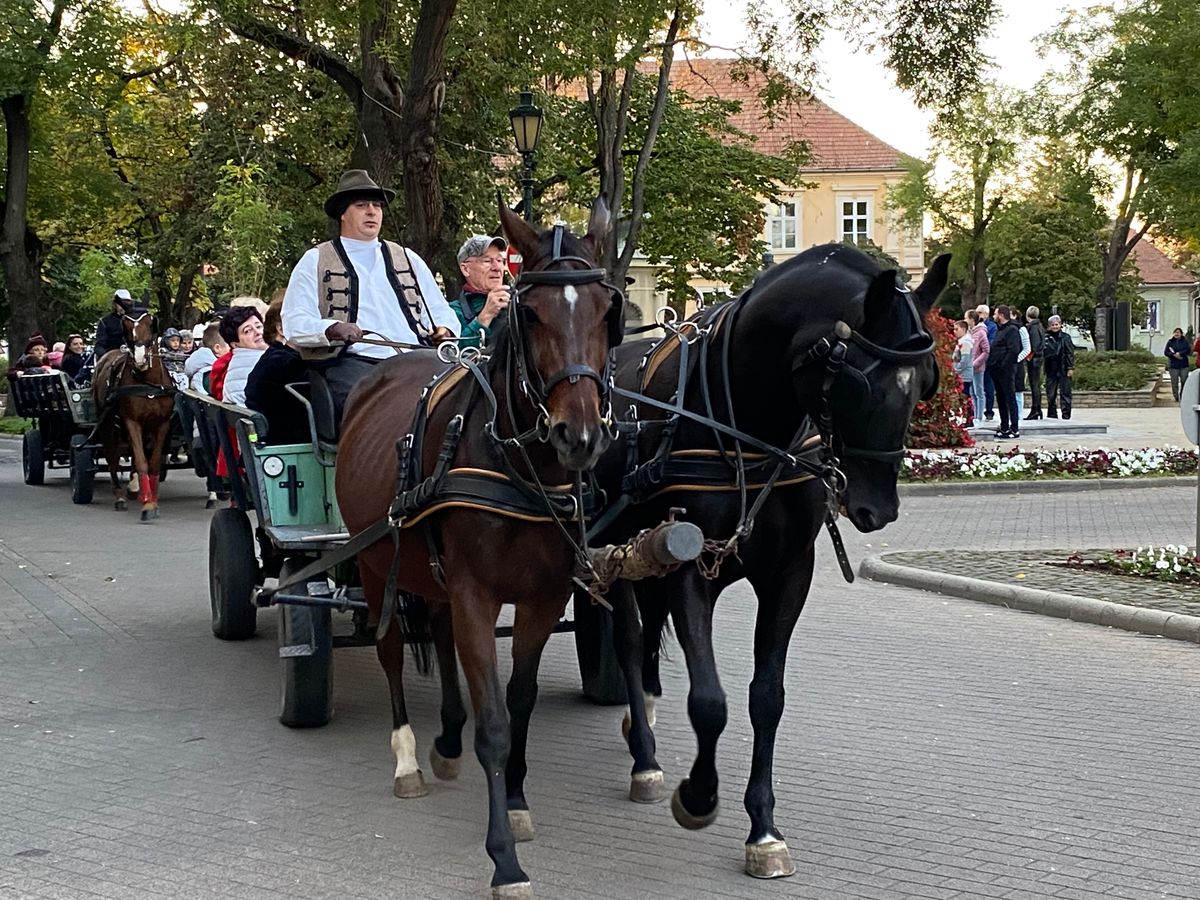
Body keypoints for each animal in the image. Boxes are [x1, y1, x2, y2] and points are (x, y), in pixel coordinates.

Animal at [91, 309, 175, 520]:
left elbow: (153, 462)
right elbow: (141, 460)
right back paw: (120, 496)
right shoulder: (131, 422)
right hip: (106, 424)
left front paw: (152, 499)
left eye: (150, 330)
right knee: (112, 456)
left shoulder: (161, 424)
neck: (148, 384)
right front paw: (148, 506)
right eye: (129, 334)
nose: (139, 360)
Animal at [336, 200, 624, 897]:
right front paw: (503, 858)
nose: (578, 435)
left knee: (438, 638)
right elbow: (493, 720)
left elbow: (518, 703)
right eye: (531, 313)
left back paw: (445, 739)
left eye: (608, 311)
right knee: (390, 650)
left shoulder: (542, 597)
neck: (517, 466)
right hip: (376, 563)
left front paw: (515, 802)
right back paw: (408, 758)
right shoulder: (475, 593)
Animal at [595, 244, 950, 883]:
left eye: (926, 384)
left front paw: (762, 827)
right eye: (859, 384)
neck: (749, 431)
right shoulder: (692, 568)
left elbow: (767, 698)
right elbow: (709, 701)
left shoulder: (789, 575)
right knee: (630, 642)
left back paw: (644, 722)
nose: (878, 509)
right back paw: (645, 760)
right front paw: (698, 796)